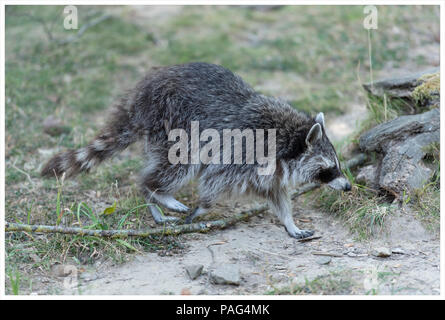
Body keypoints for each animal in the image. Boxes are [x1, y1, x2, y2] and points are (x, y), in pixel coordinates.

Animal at [43, 62, 352, 238]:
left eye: (337, 164)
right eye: (329, 168)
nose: (349, 186)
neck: (287, 139)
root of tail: (140, 95)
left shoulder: (270, 169)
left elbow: (276, 194)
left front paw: (290, 223)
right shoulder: (245, 151)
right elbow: (213, 180)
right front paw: (203, 207)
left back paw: (151, 200)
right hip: (171, 120)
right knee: (180, 163)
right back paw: (153, 191)